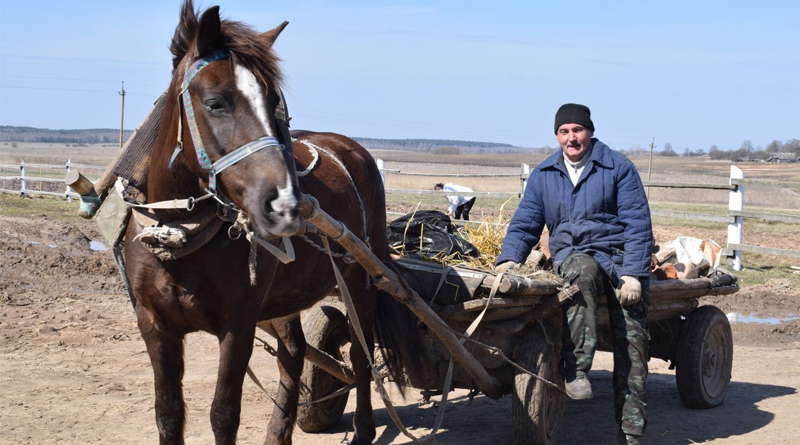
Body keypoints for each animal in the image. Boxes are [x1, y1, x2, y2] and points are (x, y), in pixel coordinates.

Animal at [123, 1, 418, 442]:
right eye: (216, 102)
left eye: (275, 104)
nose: (285, 204)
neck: (181, 237)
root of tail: (351, 148)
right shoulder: (154, 324)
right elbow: (168, 413)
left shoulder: (239, 321)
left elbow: (224, 413)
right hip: (283, 300)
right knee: (294, 354)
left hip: (360, 281)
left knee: (360, 357)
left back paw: (364, 429)